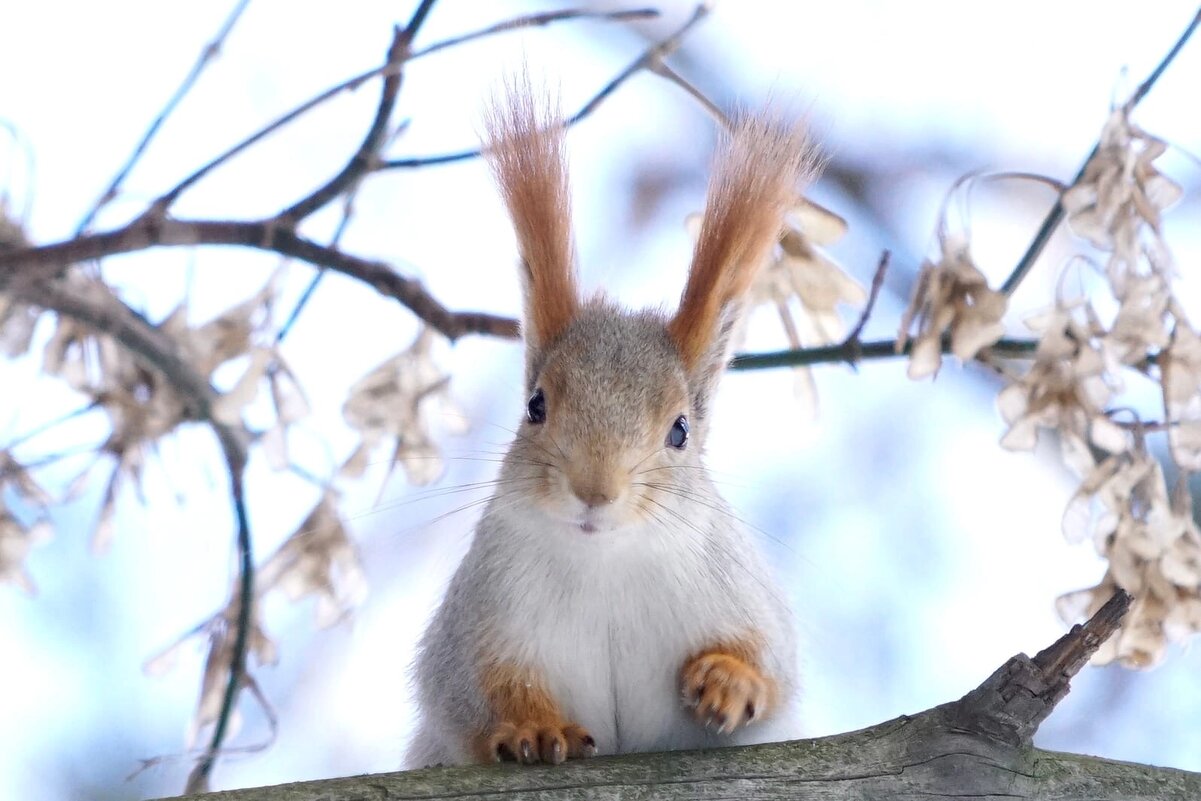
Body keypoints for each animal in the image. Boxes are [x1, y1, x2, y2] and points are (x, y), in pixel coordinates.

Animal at [405, 76, 816, 768]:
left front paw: (731, 680)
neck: (606, 565)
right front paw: (533, 726)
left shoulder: (742, 591)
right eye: (536, 406)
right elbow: (470, 695)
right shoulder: (476, 624)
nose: (594, 491)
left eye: (680, 429)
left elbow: (777, 666)